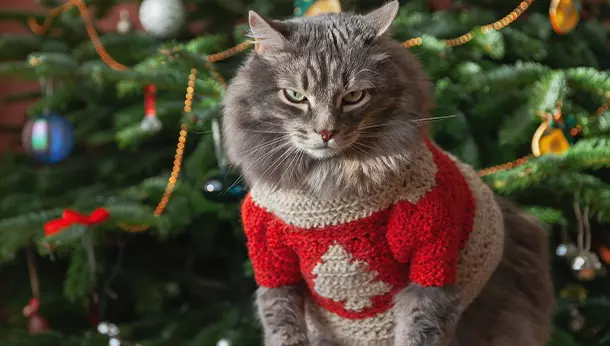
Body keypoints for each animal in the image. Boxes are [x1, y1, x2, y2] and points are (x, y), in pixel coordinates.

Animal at [221, 1, 552, 344]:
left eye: (354, 96)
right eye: (296, 96)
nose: (325, 132)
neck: (330, 185)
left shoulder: (431, 264)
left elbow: (418, 332)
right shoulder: (275, 270)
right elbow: (282, 328)